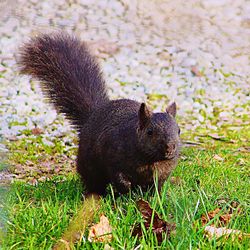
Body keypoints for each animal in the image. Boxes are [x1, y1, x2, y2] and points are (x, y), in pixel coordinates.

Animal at [18, 32, 181, 195]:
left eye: (178, 131)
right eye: (150, 132)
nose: (170, 147)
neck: (150, 160)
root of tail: (93, 115)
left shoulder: (162, 173)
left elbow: (156, 187)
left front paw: (152, 197)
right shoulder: (114, 158)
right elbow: (120, 178)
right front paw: (127, 192)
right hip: (88, 165)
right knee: (93, 182)